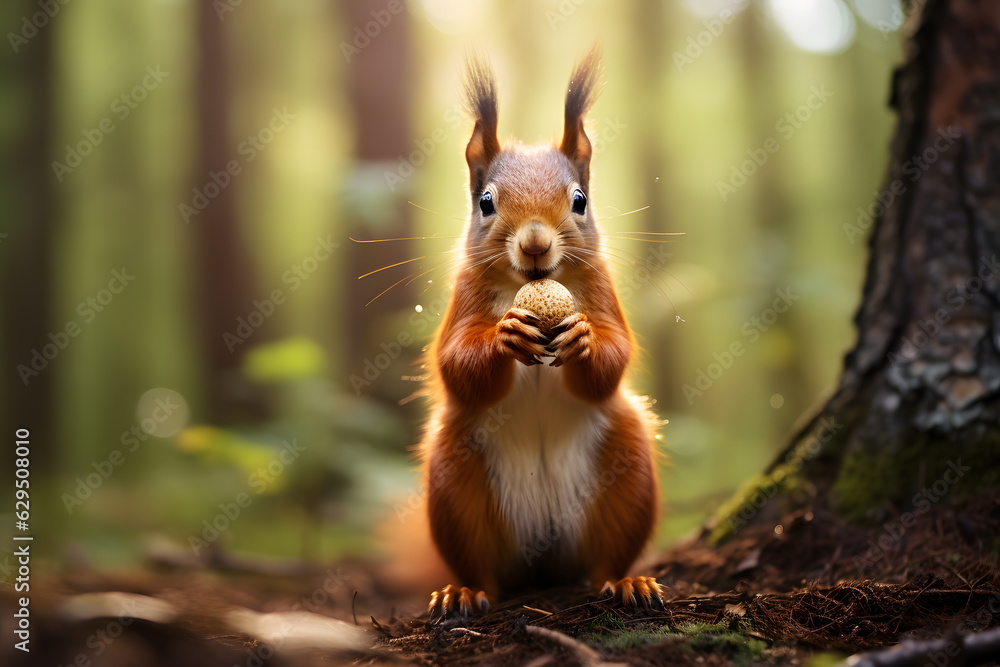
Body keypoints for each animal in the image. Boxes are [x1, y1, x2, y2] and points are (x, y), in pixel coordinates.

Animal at [419, 48, 663, 621]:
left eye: (580, 200)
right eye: (485, 202)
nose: (534, 244)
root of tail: (543, 556)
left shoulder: (602, 290)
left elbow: (616, 356)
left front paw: (585, 342)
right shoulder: (463, 297)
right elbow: (454, 363)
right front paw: (503, 337)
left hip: (628, 468)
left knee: (607, 557)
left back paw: (625, 582)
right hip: (454, 482)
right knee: (481, 567)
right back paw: (464, 592)